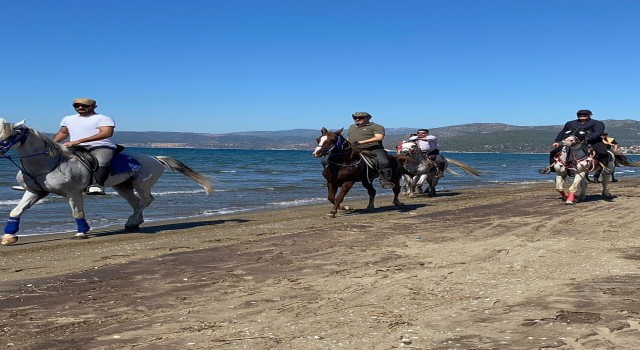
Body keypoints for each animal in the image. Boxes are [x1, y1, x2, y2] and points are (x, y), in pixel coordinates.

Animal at [0, 119, 215, 245]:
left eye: (11, 133)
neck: (48, 164)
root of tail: (155, 158)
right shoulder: (35, 192)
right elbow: (16, 211)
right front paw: (9, 236)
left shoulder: (73, 193)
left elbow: (77, 212)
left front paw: (82, 232)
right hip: (123, 186)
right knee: (136, 202)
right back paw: (134, 223)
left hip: (142, 183)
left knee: (146, 200)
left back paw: (132, 221)